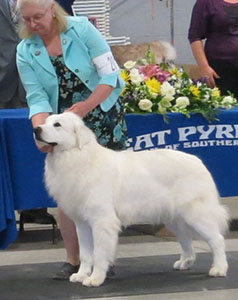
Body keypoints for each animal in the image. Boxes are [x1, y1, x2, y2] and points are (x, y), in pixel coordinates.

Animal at [33, 112, 229, 286]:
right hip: (174, 218)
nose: (36, 129)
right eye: (46, 121)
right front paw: (81, 275)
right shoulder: (82, 224)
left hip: (196, 215)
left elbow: (99, 253)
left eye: (57, 125)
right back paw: (185, 263)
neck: (77, 156)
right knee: (187, 240)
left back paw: (219, 269)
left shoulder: (102, 221)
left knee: (217, 240)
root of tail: (198, 162)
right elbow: (86, 254)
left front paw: (95, 279)